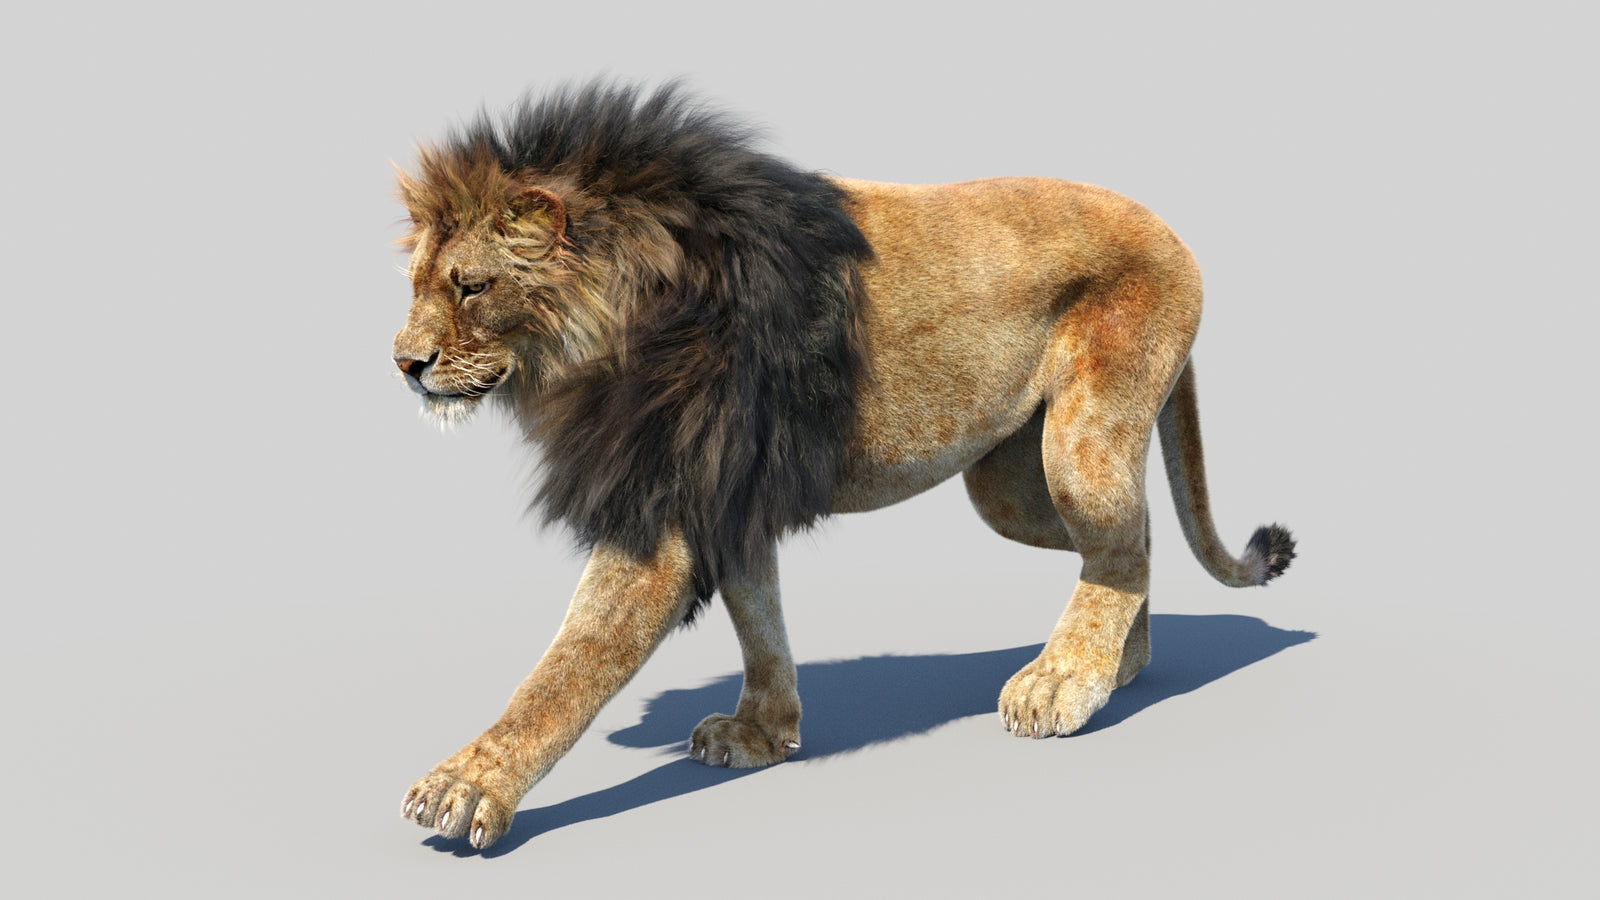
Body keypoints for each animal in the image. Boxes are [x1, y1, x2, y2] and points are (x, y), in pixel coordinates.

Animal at [391, 81, 1295, 850]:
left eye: (470, 287)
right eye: (416, 283)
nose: (403, 362)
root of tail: (1169, 227)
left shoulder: (667, 497)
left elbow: (566, 668)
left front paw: (469, 786)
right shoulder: (728, 486)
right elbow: (757, 615)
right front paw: (762, 733)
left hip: (1080, 444)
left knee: (1121, 542)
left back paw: (1064, 682)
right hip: (1005, 484)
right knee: (1133, 537)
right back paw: (1121, 666)